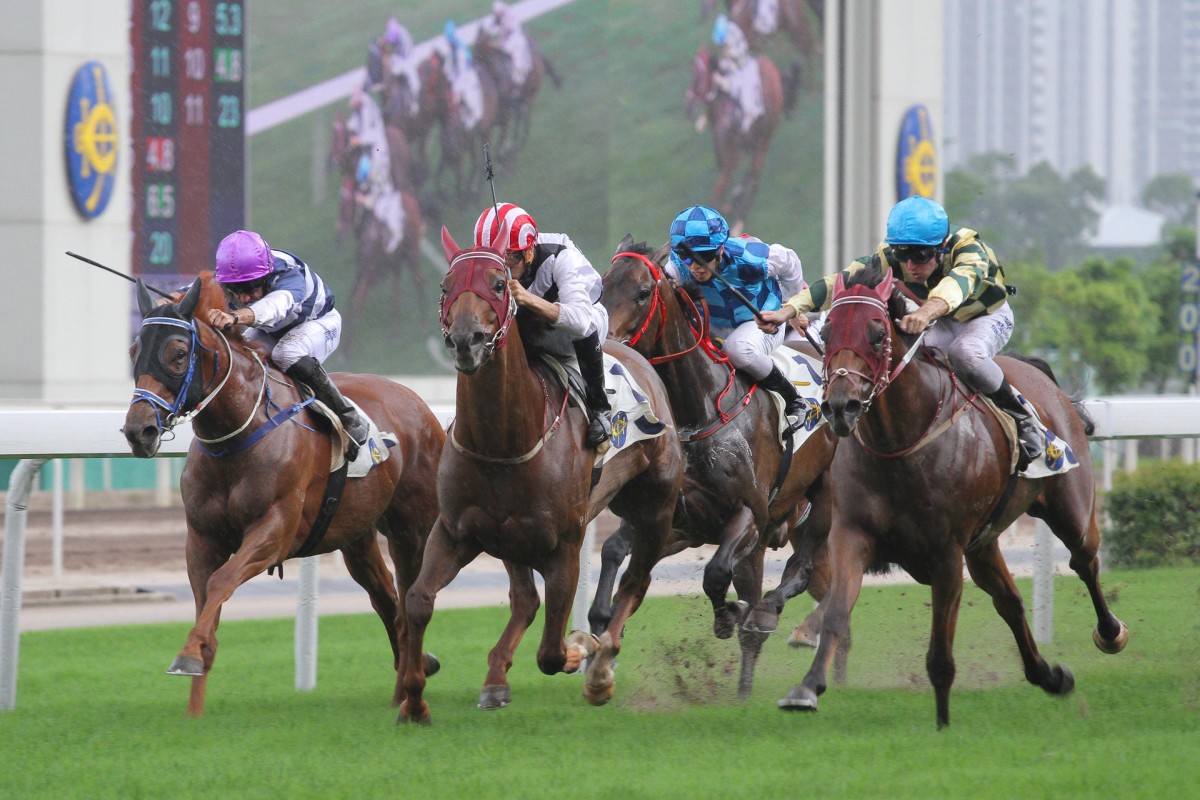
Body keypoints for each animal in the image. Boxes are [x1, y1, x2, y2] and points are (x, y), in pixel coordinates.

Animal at [121, 272, 446, 714]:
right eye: (134, 350)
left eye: (178, 353)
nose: (139, 430)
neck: (236, 436)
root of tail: (419, 403)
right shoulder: (201, 538)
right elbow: (206, 601)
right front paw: (195, 700)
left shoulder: (274, 530)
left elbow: (222, 582)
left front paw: (187, 656)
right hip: (357, 535)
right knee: (387, 601)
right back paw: (405, 686)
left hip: (411, 528)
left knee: (410, 598)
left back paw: (414, 685)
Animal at [398, 226, 686, 724]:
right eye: (445, 285)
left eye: (499, 284)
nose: (466, 340)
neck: (503, 441)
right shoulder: (455, 531)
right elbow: (418, 602)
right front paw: (415, 700)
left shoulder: (565, 545)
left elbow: (552, 651)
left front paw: (580, 649)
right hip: (510, 535)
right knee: (526, 599)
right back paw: (496, 679)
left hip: (655, 508)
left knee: (635, 582)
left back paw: (600, 668)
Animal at [600, 236, 835, 695]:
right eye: (601, 285)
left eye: (643, 292)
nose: (609, 343)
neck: (701, 408)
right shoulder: (677, 521)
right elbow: (618, 554)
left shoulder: (751, 515)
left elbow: (716, 574)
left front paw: (731, 616)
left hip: (823, 498)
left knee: (800, 573)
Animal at [686, 46, 796, 230]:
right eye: (692, 72)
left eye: (698, 76)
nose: (688, 105)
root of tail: (772, 68)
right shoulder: (726, 154)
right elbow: (723, 181)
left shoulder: (732, 155)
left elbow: (720, 188)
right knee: (751, 173)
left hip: (765, 136)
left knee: (754, 174)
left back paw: (740, 218)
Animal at [782, 266, 1128, 729]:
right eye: (829, 329)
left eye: (877, 333)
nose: (841, 407)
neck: (902, 443)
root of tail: (1041, 376)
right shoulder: (852, 535)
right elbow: (837, 611)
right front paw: (807, 687)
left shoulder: (946, 552)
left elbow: (940, 651)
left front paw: (943, 722)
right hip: (983, 544)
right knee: (1010, 601)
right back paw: (1049, 675)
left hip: (1070, 509)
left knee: (1084, 561)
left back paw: (1110, 633)